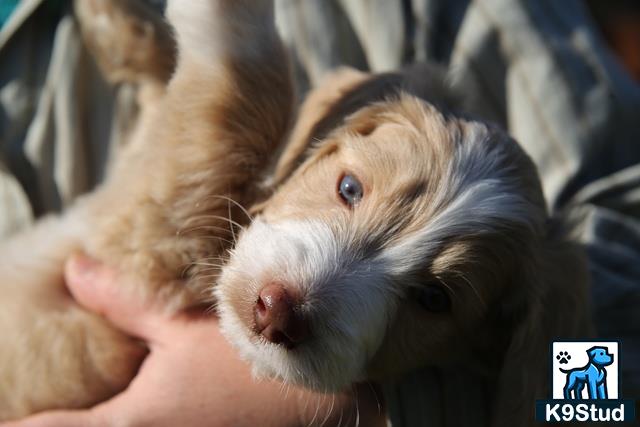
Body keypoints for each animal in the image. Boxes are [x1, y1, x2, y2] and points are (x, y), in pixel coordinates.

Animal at [0, 1, 592, 426]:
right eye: (349, 188)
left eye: (433, 299)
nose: (276, 312)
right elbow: (172, 78)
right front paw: (114, 23)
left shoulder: (151, 239)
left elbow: (247, 87)